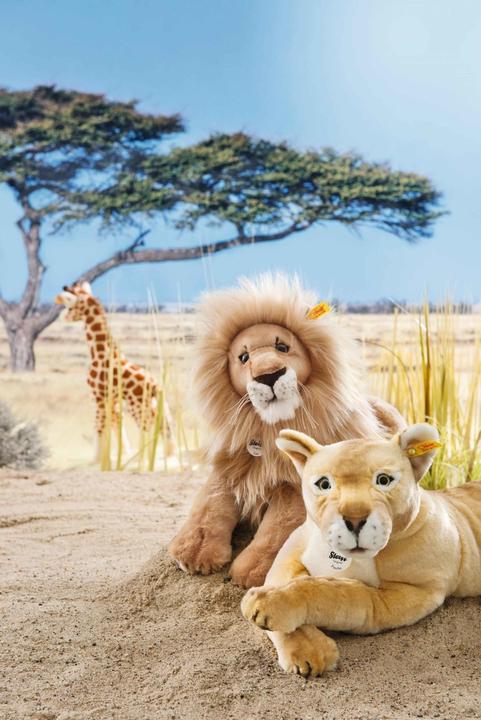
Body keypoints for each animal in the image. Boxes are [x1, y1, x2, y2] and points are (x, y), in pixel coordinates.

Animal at [55, 282, 174, 463]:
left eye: (69, 305)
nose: (63, 317)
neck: (100, 352)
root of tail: (157, 387)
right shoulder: (113, 401)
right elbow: (116, 426)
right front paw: (119, 456)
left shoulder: (99, 397)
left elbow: (99, 427)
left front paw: (98, 460)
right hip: (153, 405)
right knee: (165, 426)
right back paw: (166, 456)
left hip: (137, 406)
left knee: (149, 427)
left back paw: (145, 459)